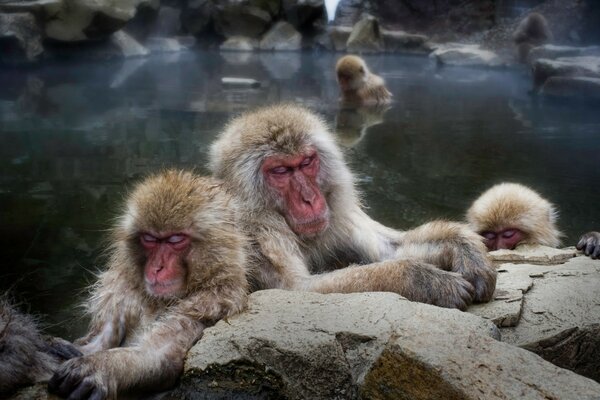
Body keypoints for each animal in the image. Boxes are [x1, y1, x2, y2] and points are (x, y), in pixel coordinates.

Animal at [47, 171, 251, 400]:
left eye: (175, 239)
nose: (156, 268)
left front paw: (102, 367)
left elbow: (160, 355)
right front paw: (71, 349)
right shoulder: (121, 290)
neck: (159, 301)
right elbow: (101, 337)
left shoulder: (213, 301)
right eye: (150, 239)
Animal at [209, 103, 494, 310]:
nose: (309, 199)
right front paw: (423, 280)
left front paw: (465, 249)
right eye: (280, 171)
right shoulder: (253, 230)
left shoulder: (338, 213)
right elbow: (296, 290)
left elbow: (389, 249)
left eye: (306, 162)